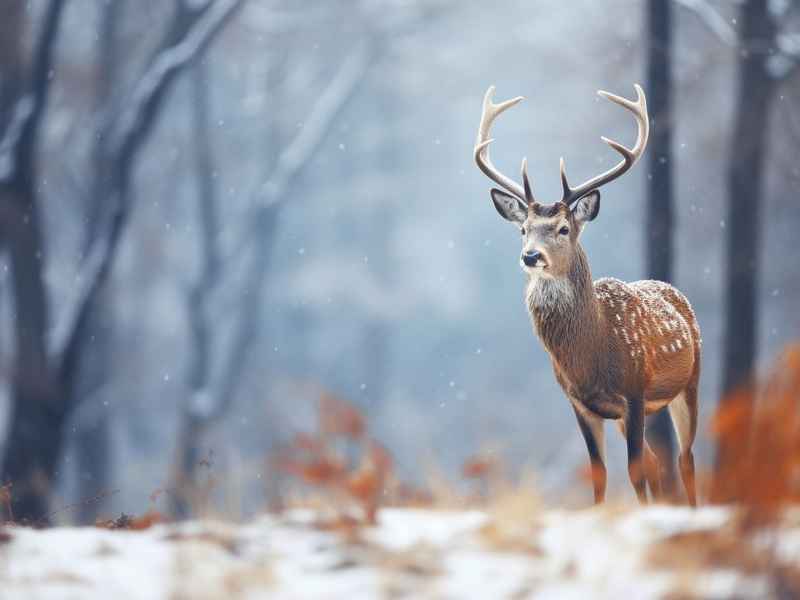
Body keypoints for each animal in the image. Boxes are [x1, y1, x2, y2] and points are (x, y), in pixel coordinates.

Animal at [473, 84, 700, 506]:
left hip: (689, 382)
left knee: (685, 459)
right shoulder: (580, 403)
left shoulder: (634, 394)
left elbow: (634, 471)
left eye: (563, 228)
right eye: (523, 229)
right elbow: (599, 475)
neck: (592, 352)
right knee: (659, 462)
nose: (531, 256)